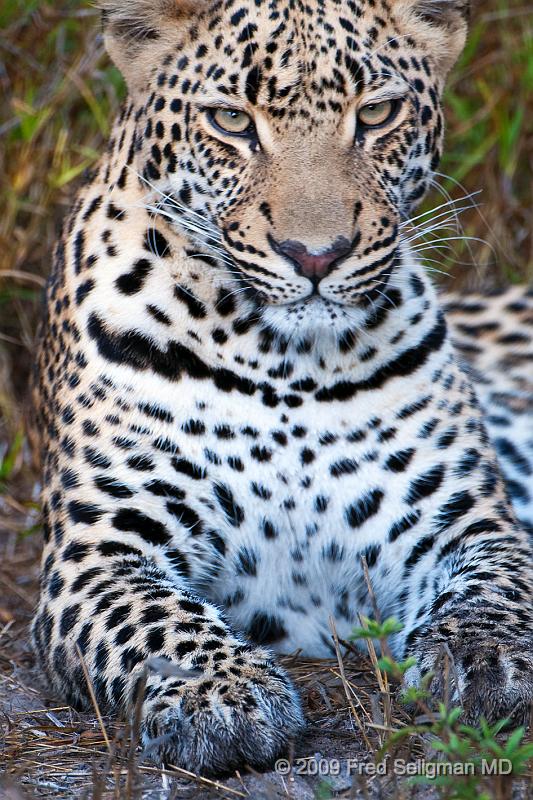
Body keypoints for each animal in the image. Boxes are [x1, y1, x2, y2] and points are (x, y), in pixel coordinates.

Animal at [30, 0, 532, 780]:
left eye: (377, 113)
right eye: (231, 121)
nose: (316, 256)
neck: (285, 365)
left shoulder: (466, 521)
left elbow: (498, 587)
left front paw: (484, 659)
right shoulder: (96, 551)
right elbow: (156, 620)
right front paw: (220, 693)